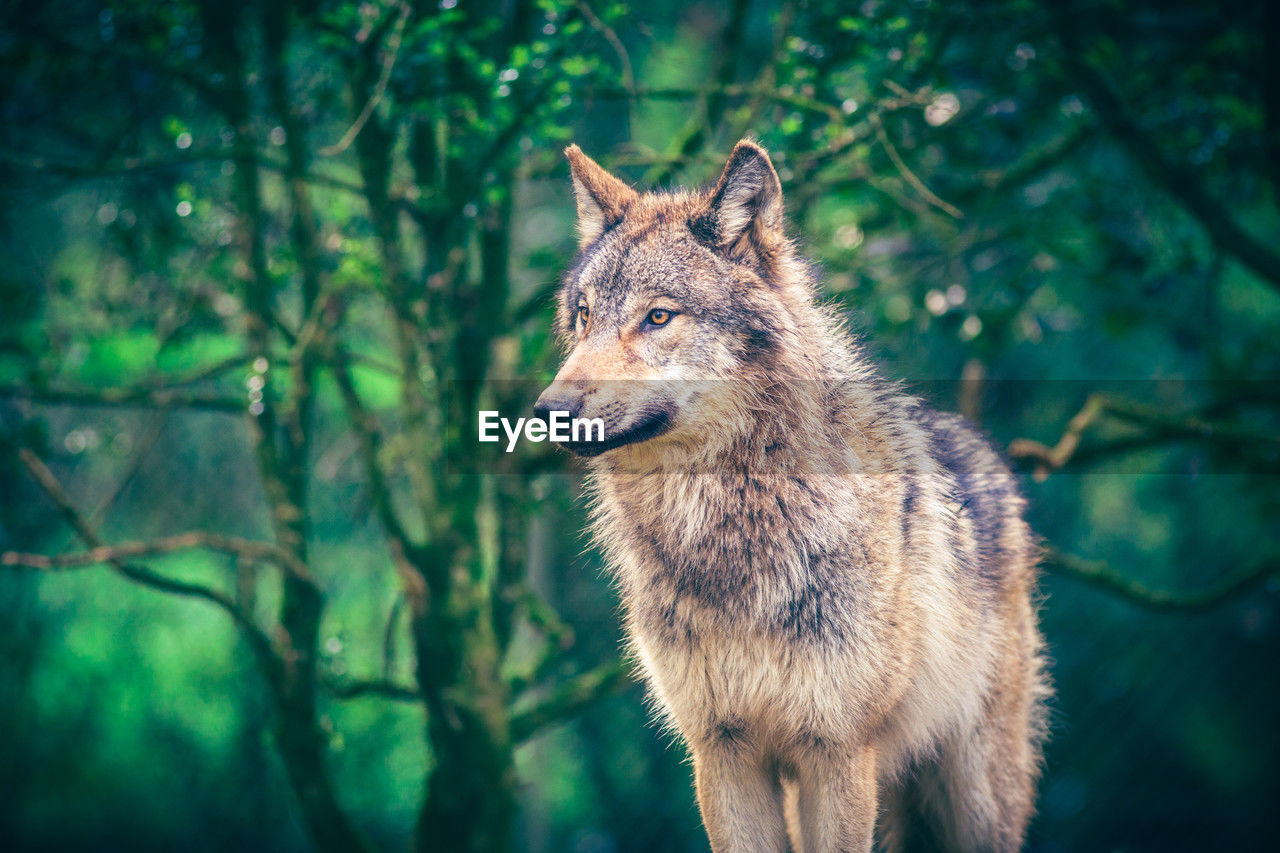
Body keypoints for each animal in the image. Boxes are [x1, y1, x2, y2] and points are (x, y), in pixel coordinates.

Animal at [535, 139, 1044, 850]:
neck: (725, 530)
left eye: (657, 316)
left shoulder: (836, 748)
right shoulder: (723, 751)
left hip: (975, 801)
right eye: (584, 317)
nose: (547, 412)